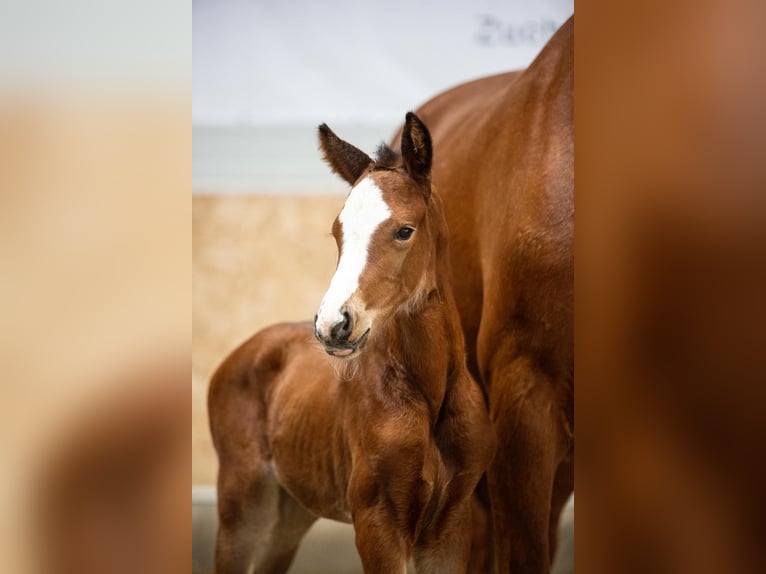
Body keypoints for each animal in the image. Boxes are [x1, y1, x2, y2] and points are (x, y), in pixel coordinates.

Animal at [208, 113, 498, 574]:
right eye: (337, 232)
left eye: (404, 230)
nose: (332, 325)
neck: (429, 392)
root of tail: (246, 348)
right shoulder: (377, 522)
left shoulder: (451, 525)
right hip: (243, 503)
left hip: (290, 513)